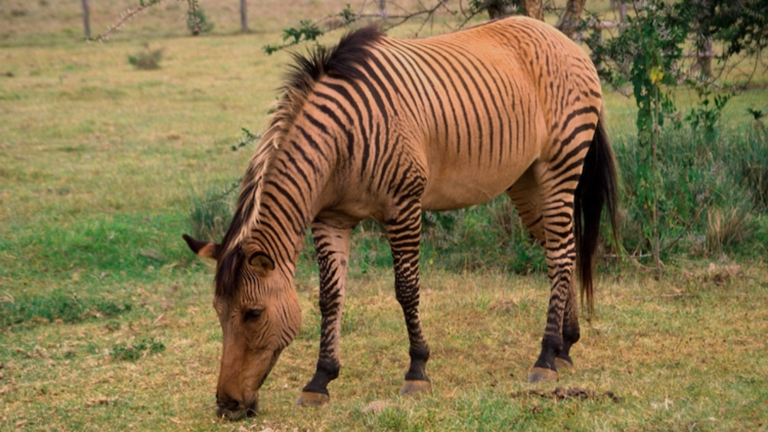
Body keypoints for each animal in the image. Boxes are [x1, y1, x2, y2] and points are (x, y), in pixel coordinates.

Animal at [183, 15, 618, 420]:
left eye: (253, 313)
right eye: (217, 313)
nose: (227, 406)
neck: (338, 145)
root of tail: (562, 38)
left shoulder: (404, 206)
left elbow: (407, 289)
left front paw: (417, 371)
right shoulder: (331, 218)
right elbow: (330, 297)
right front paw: (320, 380)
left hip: (559, 167)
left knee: (561, 255)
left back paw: (546, 357)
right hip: (525, 181)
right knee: (561, 249)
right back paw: (565, 345)